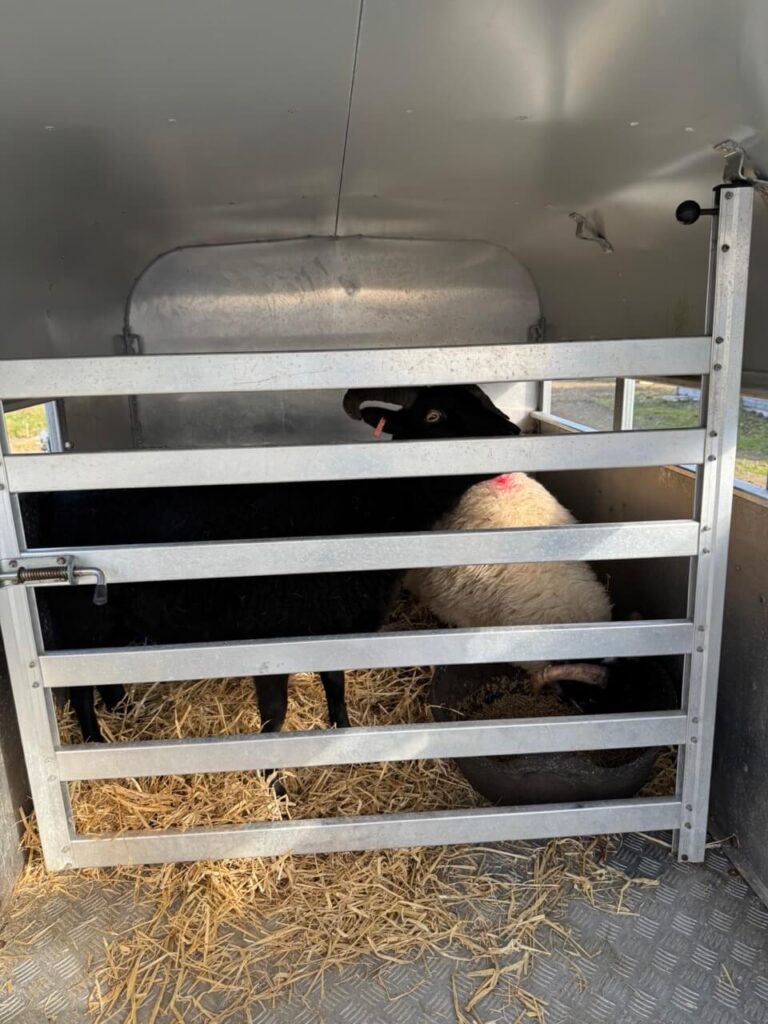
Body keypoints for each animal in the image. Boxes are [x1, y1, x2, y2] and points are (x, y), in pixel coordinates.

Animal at [23, 385, 521, 763]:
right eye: (435, 415)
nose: (514, 433)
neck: (362, 508)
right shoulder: (270, 640)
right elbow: (275, 719)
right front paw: (275, 788)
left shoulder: (335, 628)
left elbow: (336, 687)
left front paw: (343, 737)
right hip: (80, 617)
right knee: (80, 687)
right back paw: (94, 742)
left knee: (106, 674)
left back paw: (124, 714)